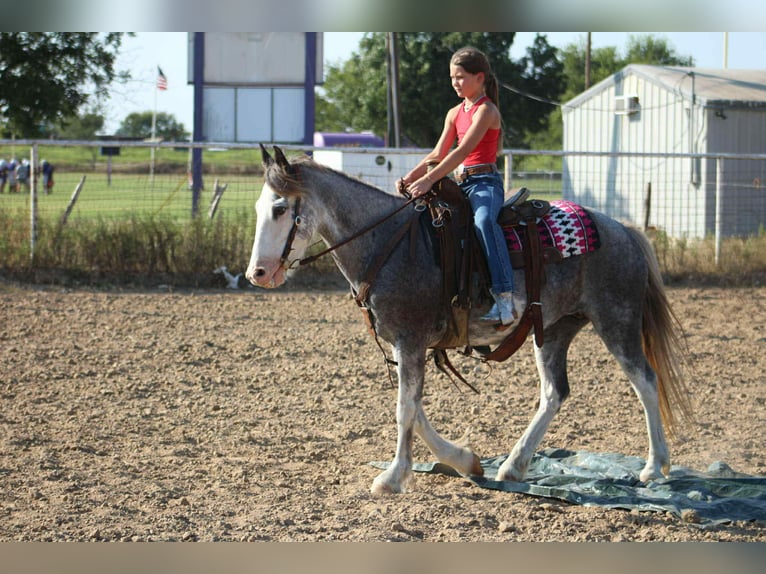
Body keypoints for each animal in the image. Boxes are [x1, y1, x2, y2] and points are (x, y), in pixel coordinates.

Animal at [246, 146, 694, 496]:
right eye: (259, 208)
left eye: (280, 208)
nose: (258, 274)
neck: (389, 243)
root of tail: (624, 230)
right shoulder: (407, 345)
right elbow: (416, 408)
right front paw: (463, 459)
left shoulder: (410, 340)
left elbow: (405, 409)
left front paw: (392, 478)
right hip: (554, 329)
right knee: (554, 393)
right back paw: (513, 466)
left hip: (616, 320)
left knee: (645, 382)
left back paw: (654, 468)